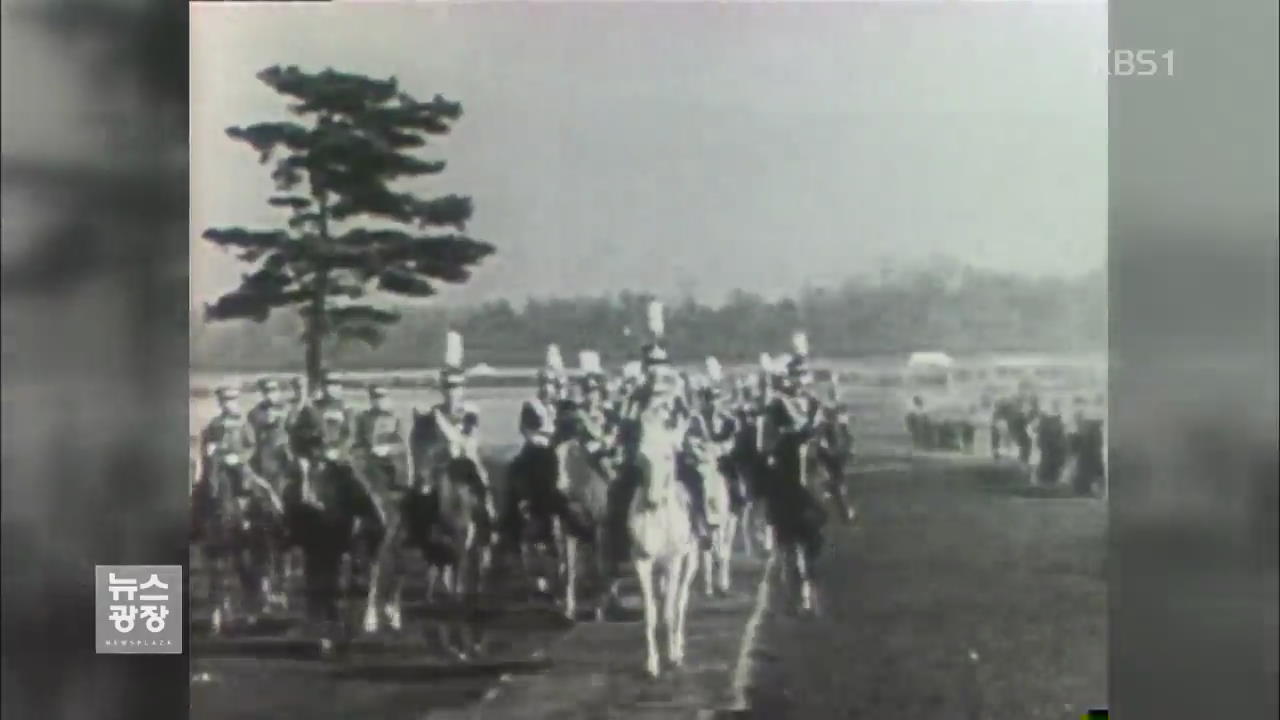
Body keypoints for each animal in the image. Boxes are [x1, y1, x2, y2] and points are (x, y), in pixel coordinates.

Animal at [627, 412, 701, 676]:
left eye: (669, 456)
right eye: (642, 455)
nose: (651, 501)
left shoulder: (673, 561)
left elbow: (670, 611)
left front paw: (672, 655)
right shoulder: (642, 562)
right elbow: (650, 614)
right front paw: (652, 663)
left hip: (690, 561)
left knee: (680, 600)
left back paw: (679, 645)